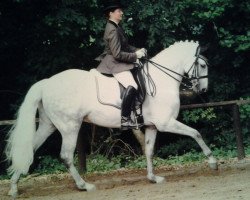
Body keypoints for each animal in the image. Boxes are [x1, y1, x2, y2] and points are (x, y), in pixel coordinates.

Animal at [4, 39, 218, 198]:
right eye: (202, 65)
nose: (203, 90)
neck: (160, 80)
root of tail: (46, 83)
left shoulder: (152, 126)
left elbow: (149, 151)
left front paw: (153, 178)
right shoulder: (166, 123)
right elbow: (196, 133)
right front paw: (213, 161)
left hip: (48, 125)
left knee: (29, 150)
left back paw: (14, 188)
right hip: (70, 126)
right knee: (65, 156)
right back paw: (84, 185)